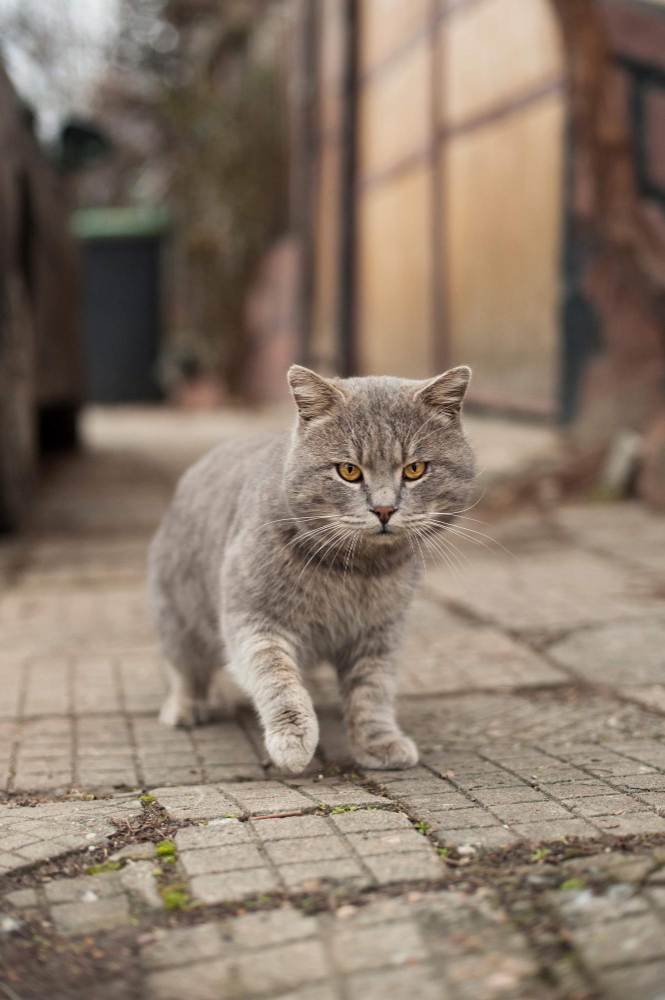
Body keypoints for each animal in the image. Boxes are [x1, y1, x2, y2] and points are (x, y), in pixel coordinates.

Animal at [148, 366, 474, 772]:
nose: (384, 510)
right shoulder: (253, 619)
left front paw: (378, 741)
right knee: (186, 670)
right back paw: (185, 708)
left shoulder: (380, 631)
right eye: (349, 471)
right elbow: (275, 676)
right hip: (178, 618)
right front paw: (293, 739)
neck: (355, 573)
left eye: (415, 469)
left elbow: (373, 690)